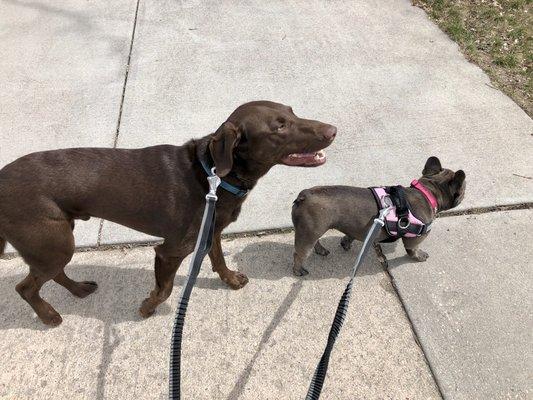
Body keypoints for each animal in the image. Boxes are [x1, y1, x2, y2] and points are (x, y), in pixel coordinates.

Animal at [0, 101, 336, 324]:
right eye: (279, 126)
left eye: (292, 111)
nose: (333, 130)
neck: (213, 174)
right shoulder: (169, 251)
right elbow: (165, 289)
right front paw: (147, 308)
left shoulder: (211, 231)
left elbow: (218, 260)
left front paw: (230, 280)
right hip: (51, 241)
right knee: (26, 287)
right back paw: (50, 317)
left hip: (55, 240)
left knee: (52, 274)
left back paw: (80, 290)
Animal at [288, 156, 464, 276]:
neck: (428, 192)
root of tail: (305, 195)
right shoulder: (416, 237)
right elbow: (413, 249)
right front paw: (419, 256)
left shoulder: (357, 229)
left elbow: (349, 236)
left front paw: (345, 243)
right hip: (308, 234)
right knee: (299, 254)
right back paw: (299, 271)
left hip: (314, 231)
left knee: (315, 242)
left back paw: (321, 250)